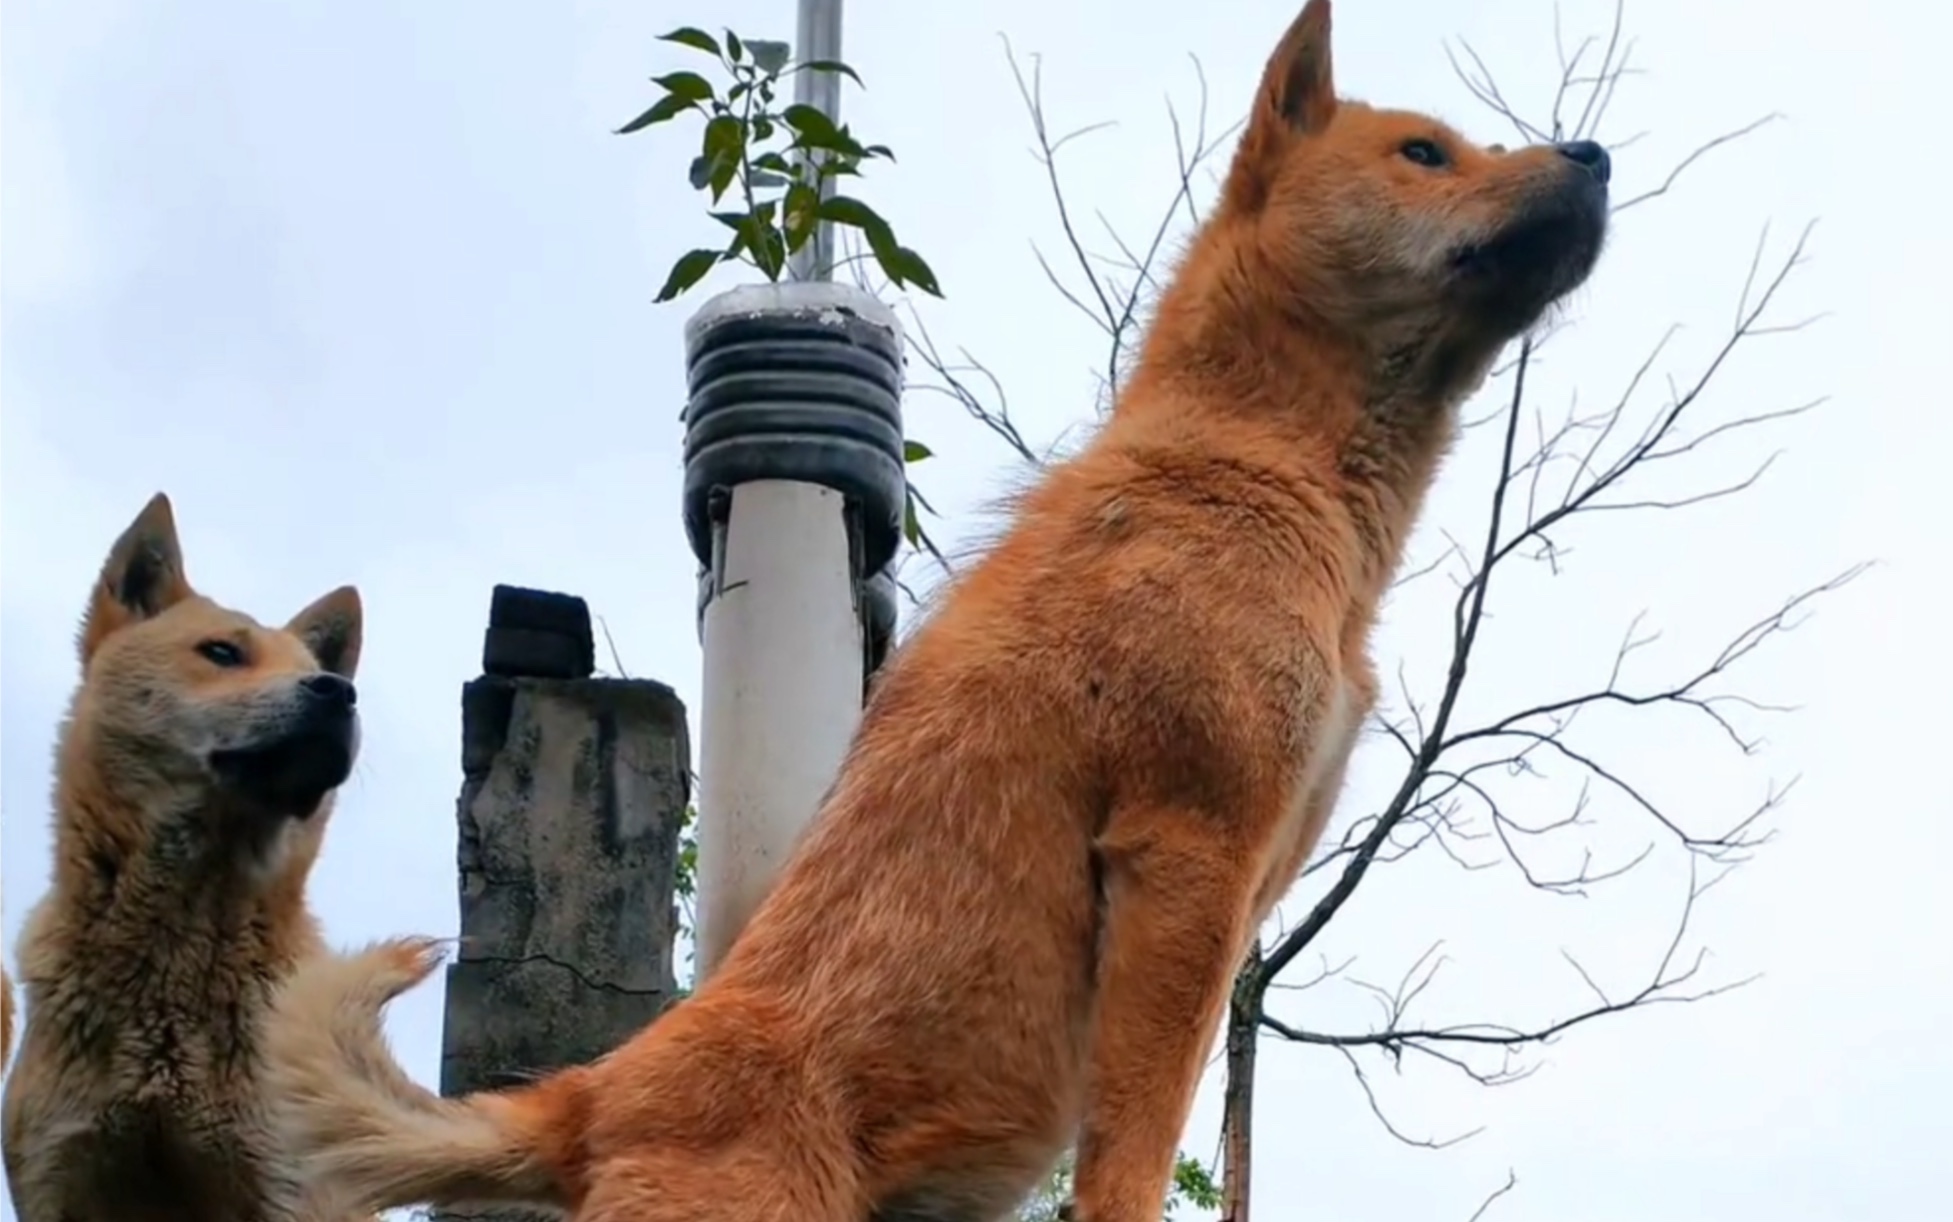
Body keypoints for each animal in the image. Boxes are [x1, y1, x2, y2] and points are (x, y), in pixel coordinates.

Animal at [259, 2, 1609, 1218]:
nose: (1592, 155)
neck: (1252, 461)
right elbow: (1130, 1150)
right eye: (1425, 152)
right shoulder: (1185, 854)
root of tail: (591, 1100)